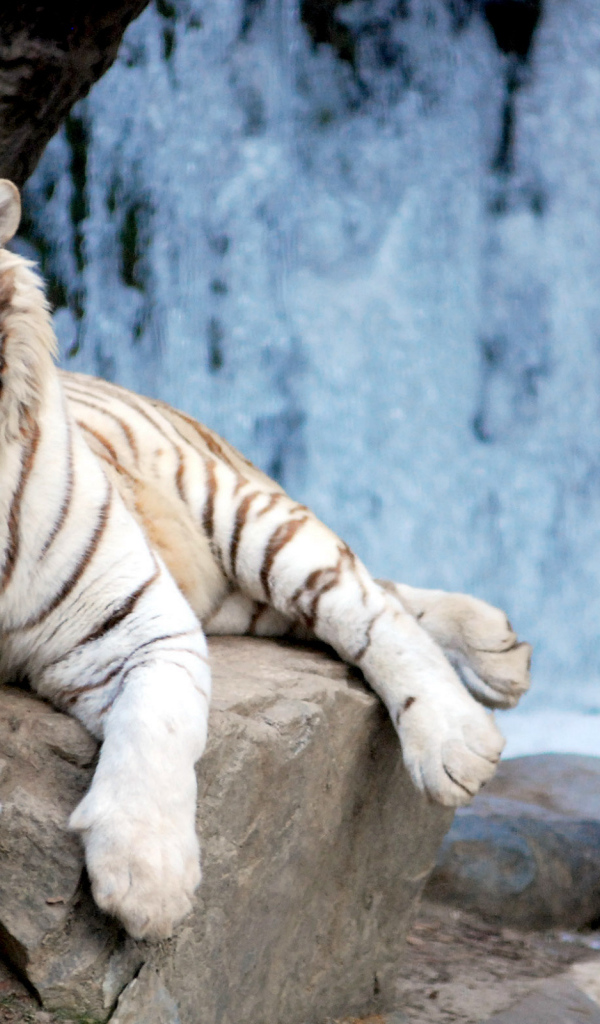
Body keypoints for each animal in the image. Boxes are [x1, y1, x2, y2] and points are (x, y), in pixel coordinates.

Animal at [0, 179, 531, 941]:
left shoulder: (130, 621)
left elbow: (157, 725)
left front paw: (147, 882)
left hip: (241, 515)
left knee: (364, 603)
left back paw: (458, 737)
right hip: (235, 599)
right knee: (375, 597)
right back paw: (498, 648)